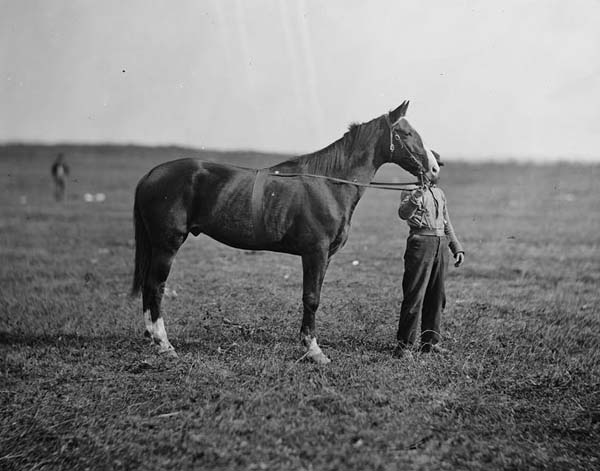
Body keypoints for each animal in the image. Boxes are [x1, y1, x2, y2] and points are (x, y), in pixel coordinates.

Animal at [132, 100, 440, 366]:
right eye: (407, 133)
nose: (435, 167)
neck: (330, 185)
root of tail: (151, 175)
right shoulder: (314, 253)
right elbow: (311, 299)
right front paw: (314, 351)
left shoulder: (324, 257)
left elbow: (314, 297)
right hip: (167, 245)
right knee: (155, 287)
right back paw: (164, 344)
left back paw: (152, 339)